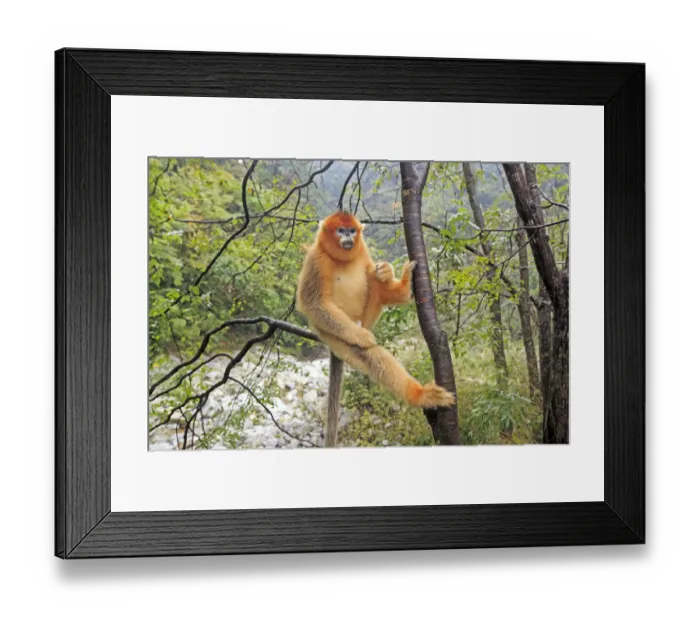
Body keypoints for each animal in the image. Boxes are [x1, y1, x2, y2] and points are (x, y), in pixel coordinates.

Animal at [296, 212, 455, 446]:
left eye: (352, 230)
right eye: (340, 230)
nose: (348, 237)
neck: (341, 258)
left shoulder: (362, 250)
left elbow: (372, 272)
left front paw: (387, 272)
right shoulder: (316, 259)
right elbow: (314, 303)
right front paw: (361, 337)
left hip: (367, 317)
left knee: (374, 278)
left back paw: (402, 287)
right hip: (332, 334)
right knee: (366, 352)